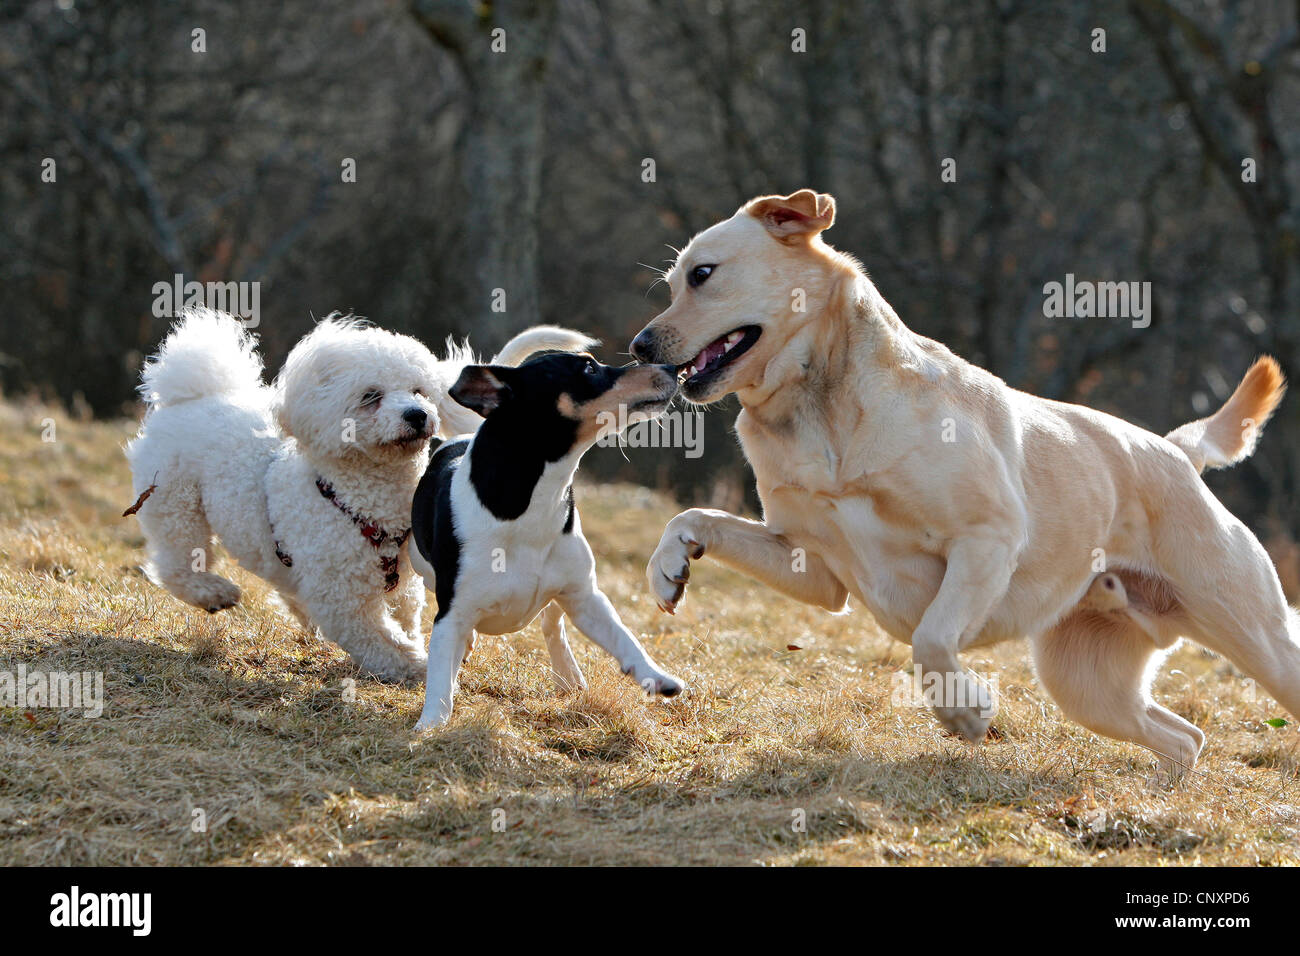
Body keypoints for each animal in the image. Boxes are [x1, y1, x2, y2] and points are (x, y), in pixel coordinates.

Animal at [122, 308, 590, 681]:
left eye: (419, 390)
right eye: (371, 396)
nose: (418, 415)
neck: (364, 499)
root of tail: (192, 396)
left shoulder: (404, 583)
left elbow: (405, 615)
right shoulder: (343, 599)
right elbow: (382, 641)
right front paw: (420, 665)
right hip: (174, 501)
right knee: (175, 561)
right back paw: (213, 592)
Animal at [410, 351, 686, 733]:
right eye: (588, 368)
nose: (675, 368)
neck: (532, 504)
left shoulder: (585, 597)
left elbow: (625, 639)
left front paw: (656, 677)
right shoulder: (451, 614)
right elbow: (439, 674)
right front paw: (431, 725)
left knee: (552, 625)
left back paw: (568, 675)